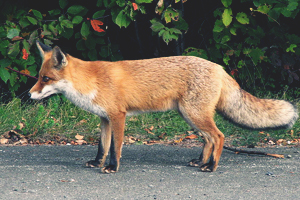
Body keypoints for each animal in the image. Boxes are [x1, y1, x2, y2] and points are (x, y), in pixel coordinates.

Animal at [29, 41, 298, 173]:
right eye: (39, 77)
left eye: (46, 79)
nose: (30, 95)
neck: (92, 81)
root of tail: (218, 67)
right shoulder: (104, 118)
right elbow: (101, 146)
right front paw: (97, 163)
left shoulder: (118, 116)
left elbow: (115, 148)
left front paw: (112, 167)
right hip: (189, 115)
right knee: (208, 139)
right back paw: (200, 161)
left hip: (194, 114)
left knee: (219, 136)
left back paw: (210, 166)